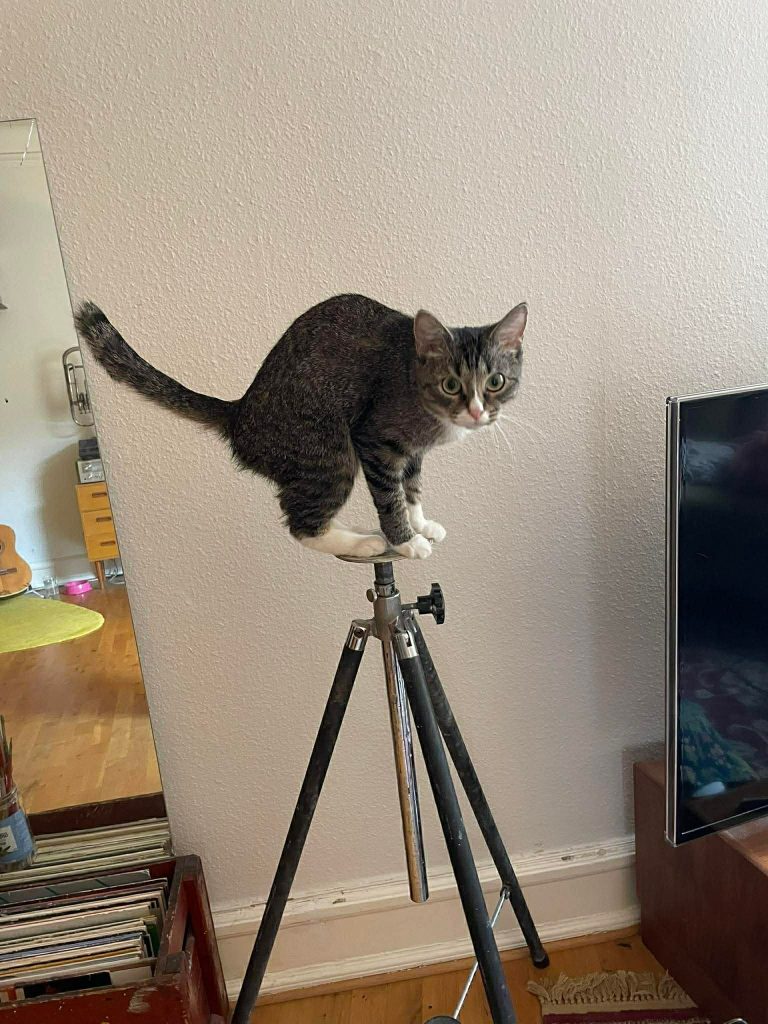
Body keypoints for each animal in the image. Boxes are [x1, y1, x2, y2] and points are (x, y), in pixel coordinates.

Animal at [75, 294, 526, 559]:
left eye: (496, 382)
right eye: (451, 384)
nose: (476, 412)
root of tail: (239, 412)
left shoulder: (411, 451)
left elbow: (412, 488)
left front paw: (420, 522)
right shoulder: (375, 439)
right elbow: (390, 496)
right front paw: (406, 540)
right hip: (329, 448)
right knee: (299, 523)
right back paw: (363, 542)